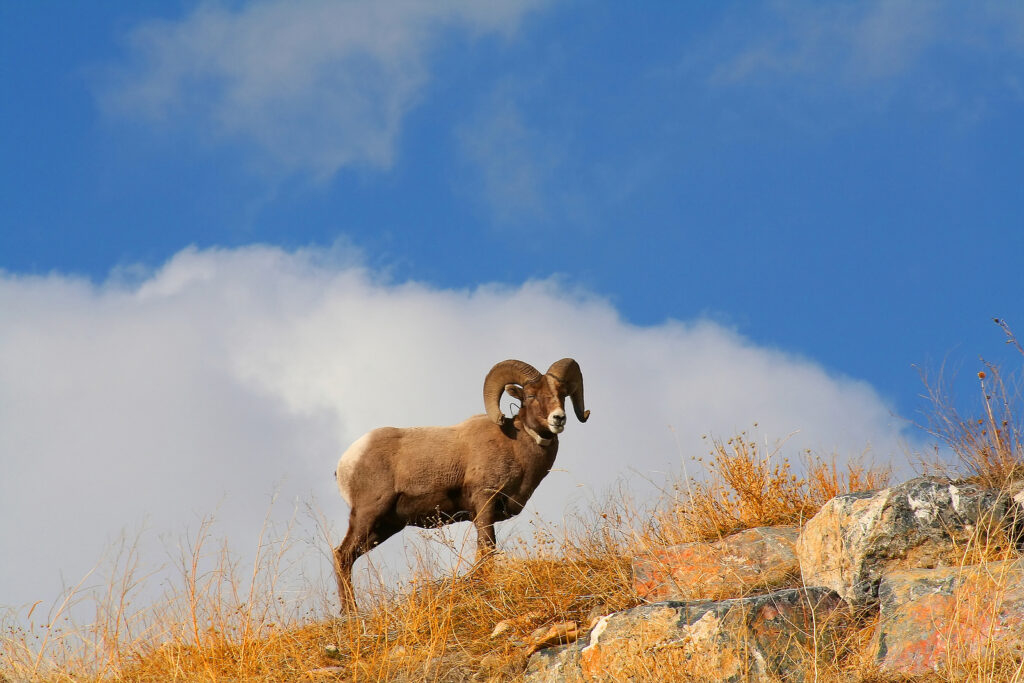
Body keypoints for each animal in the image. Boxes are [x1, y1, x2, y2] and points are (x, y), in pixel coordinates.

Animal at [332, 358, 589, 611]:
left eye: (562, 393)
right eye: (531, 395)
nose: (558, 418)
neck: (515, 446)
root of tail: (346, 461)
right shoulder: (484, 502)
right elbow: (487, 546)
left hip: (385, 527)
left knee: (349, 556)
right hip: (367, 515)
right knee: (342, 555)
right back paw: (351, 613)